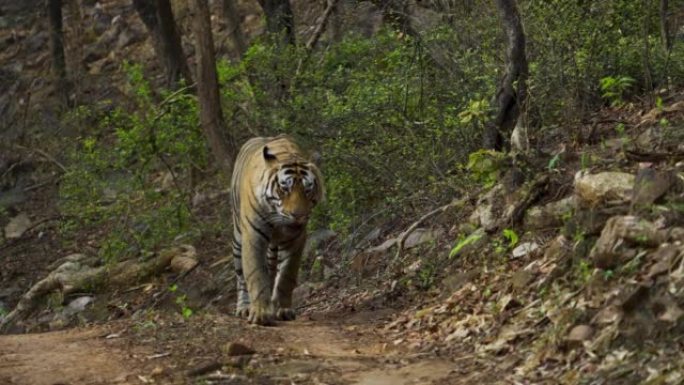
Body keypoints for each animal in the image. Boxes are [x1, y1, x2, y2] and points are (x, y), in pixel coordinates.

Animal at [231, 135, 324, 324]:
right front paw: (260, 313)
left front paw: (282, 309)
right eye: (284, 188)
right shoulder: (253, 235)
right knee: (240, 276)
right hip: (237, 237)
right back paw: (244, 308)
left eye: (307, 190)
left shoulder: (296, 239)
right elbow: (256, 274)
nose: (298, 215)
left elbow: (286, 277)